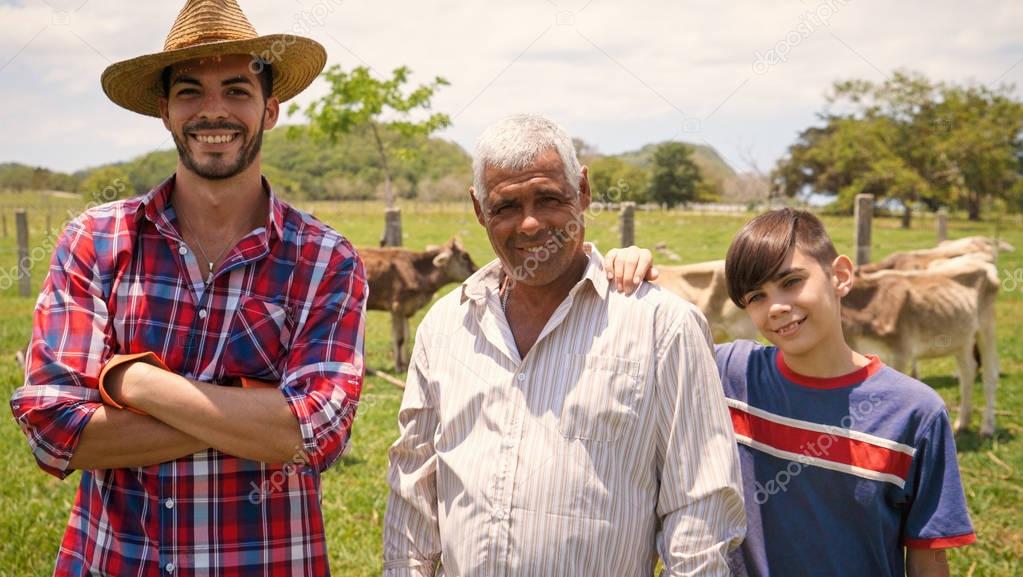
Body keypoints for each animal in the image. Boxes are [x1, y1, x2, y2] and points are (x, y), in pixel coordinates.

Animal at [362, 236, 476, 372]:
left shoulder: (405, 309)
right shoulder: (397, 305)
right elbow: (399, 339)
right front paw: (398, 367)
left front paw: (405, 364)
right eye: (464, 256)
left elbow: (406, 337)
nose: (476, 270)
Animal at [838, 258, 998, 435]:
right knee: (968, 371)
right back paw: (962, 422)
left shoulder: (900, 352)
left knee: (989, 375)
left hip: (987, 328)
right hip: (962, 339)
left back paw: (988, 427)